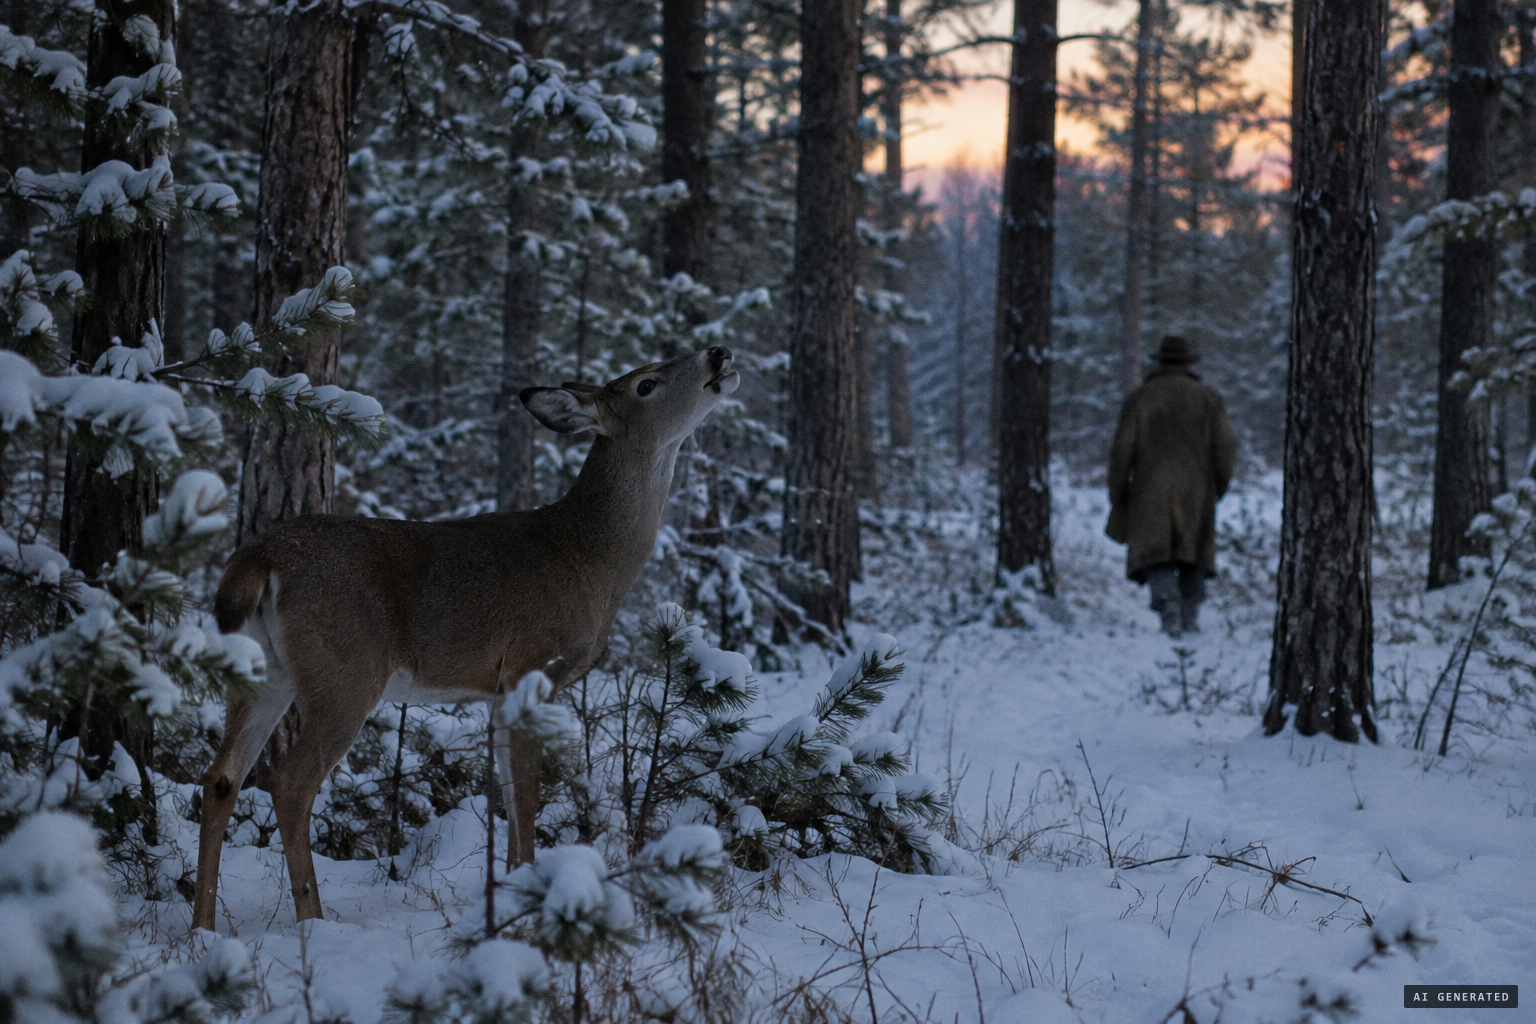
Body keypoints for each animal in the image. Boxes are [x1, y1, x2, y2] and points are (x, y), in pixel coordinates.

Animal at [190, 346, 739, 931]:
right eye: (647, 384)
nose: (719, 353)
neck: (589, 562)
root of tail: (260, 556)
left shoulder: (497, 690)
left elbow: (507, 792)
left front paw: (512, 886)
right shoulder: (533, 663)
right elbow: (527, 793)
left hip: (265, 670)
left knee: (222, 777)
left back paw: (202, 924)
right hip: (347, 670)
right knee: (291, 782)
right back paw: (313, 919)